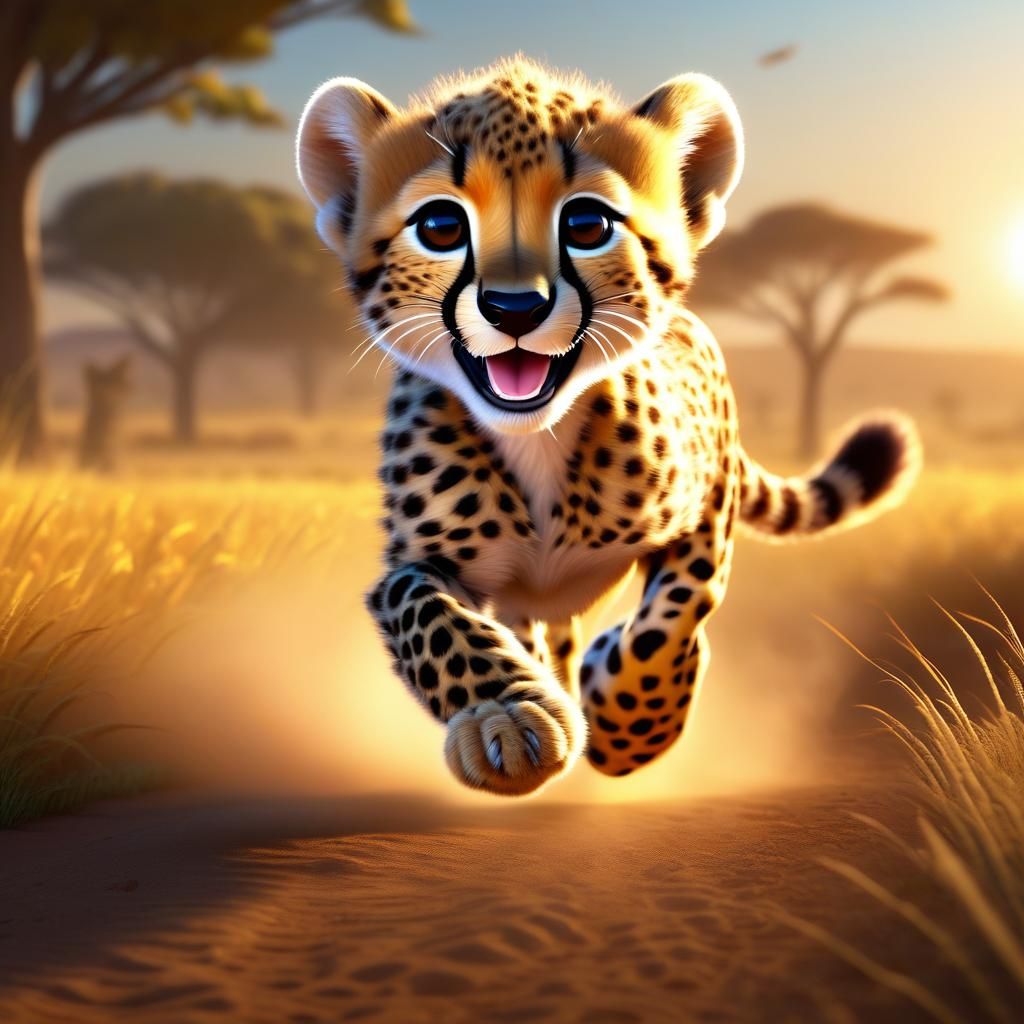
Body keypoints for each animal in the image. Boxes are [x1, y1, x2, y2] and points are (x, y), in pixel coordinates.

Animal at [296, 56, 920, 796]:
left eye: (588, 224)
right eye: (441, 226)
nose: (514, 308)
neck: (537, 439)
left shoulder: (703, 510)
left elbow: (674, 616)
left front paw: (627, 724)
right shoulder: (416, 563)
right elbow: (434, 619)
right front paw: (506, 718)